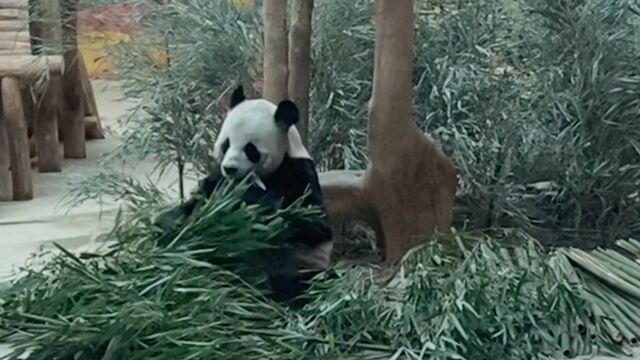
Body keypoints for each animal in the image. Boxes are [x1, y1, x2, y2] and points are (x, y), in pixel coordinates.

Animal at [157, 85, 332, 306]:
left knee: (289, 284)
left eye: (250, 149)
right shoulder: (218, 178)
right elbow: (198, 200)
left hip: (299, 264)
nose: (230, 168)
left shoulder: (299, 174)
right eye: (226, 144)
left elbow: (311, 224)